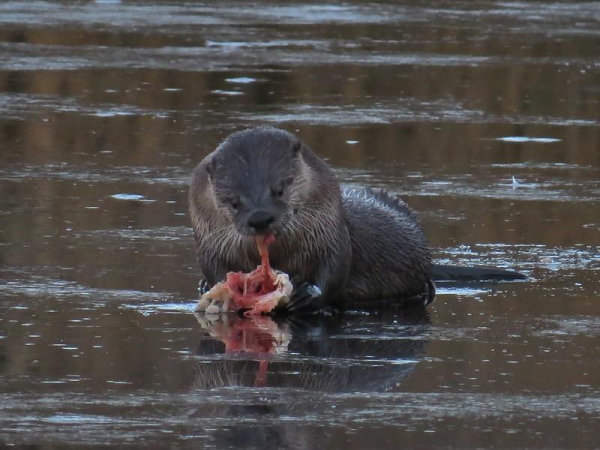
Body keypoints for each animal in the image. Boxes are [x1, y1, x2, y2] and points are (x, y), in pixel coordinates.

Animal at [190, 126, 524, 312]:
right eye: (234, 201)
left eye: (280, 189)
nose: (260, 218)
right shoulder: (208, 244)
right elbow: (214, 270)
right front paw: (216, 291)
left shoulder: (331, 231)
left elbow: (335, 268)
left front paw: (307, 294)